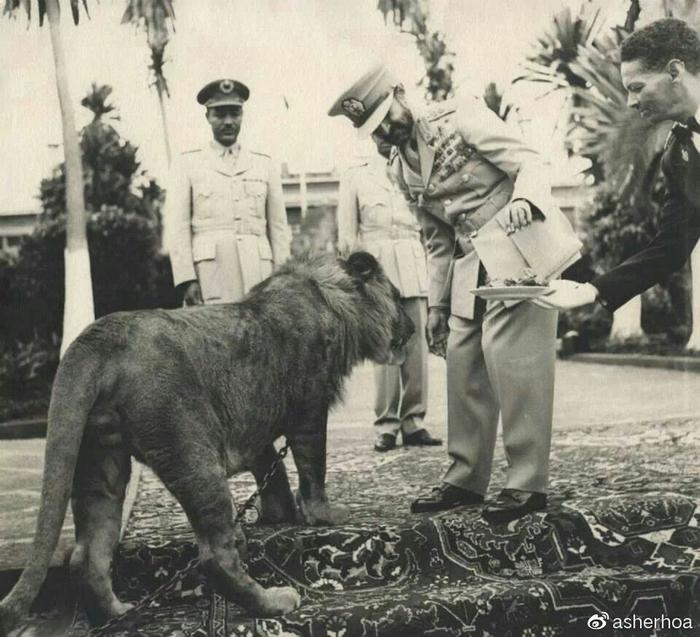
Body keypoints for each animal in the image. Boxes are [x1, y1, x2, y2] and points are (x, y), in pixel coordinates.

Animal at [0, 251, 412, 628]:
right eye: (398, 296)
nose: (411, 328)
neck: (329, 296)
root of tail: (97, 337)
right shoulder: (309, 409)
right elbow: (314, 469)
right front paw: (322, 515)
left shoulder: (256, 427)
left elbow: (272, 472)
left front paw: (280, 514)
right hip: (192, 452)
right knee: (214, 555)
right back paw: (274, 601)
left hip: (98, 459)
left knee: (87, 555)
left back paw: (117, 614)